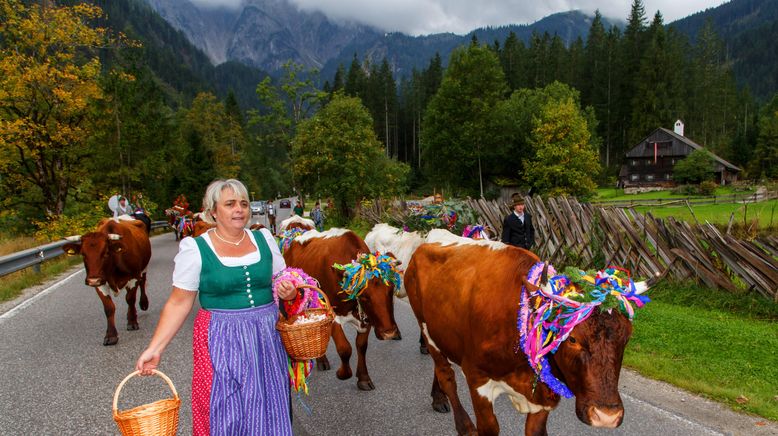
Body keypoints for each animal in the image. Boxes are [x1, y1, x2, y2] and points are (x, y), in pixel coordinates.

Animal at [280, 228, 400, 392]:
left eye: (391, 290)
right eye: (364, 296)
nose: (389, 333)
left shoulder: (365, 317)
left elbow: (361, 346)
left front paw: (363, 378)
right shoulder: (332, 314)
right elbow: (344, 348)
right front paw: (343, 373)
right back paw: (322, 361)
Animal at [404, 230, 652, 434]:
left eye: (627, 338)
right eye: (572, 338)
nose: (607, 416)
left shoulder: (543, 396)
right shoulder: (478, 379)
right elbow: (489, 428)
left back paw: (437, 398)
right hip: (425, 326)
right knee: (445, 375)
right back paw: (461, 422)